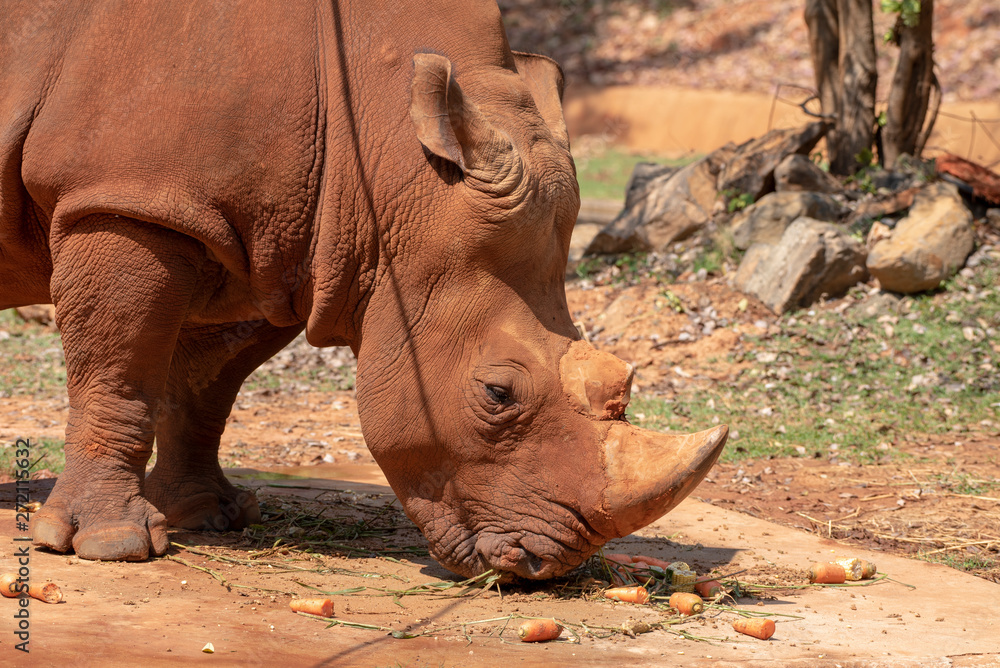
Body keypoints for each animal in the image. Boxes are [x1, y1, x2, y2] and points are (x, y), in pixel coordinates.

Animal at [0, 0, 726, 579]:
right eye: (497, 394)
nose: (545, 565)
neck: (387, 155)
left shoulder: (275, 243)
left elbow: (208, 383)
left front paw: (211, 515)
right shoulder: (129, 199)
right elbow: (118, 368)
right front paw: (112, 546)